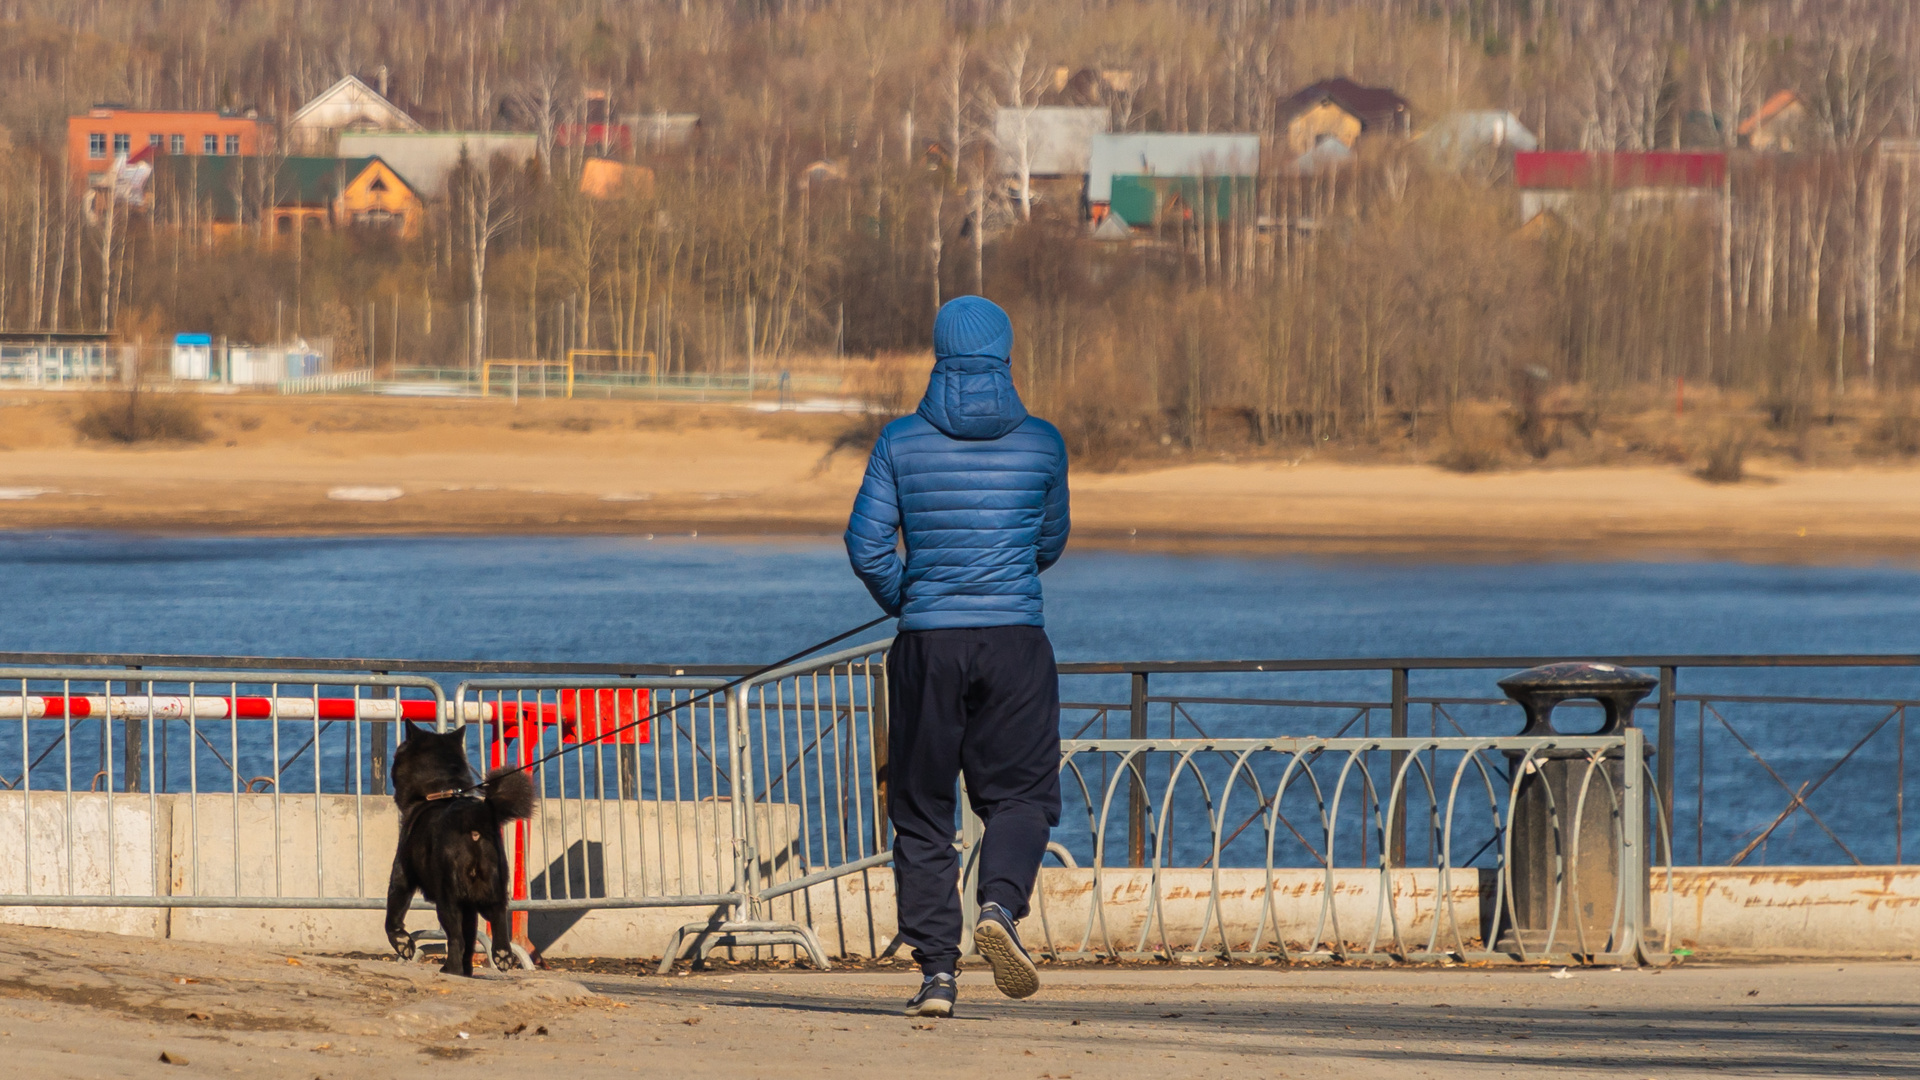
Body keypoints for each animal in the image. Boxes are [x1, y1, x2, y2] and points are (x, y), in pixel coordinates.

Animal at [384, 722, 533, 976]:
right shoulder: (469, 907)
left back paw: (450, 969)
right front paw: (467, 970)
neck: (438, 791)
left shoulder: (402, 875)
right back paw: (501, 956)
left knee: (456, 938)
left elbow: (393, 915)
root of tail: (473, 816)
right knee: (496, 921)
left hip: (448, 899)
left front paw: (403, 943)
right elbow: (471, 938)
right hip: (492, 889)